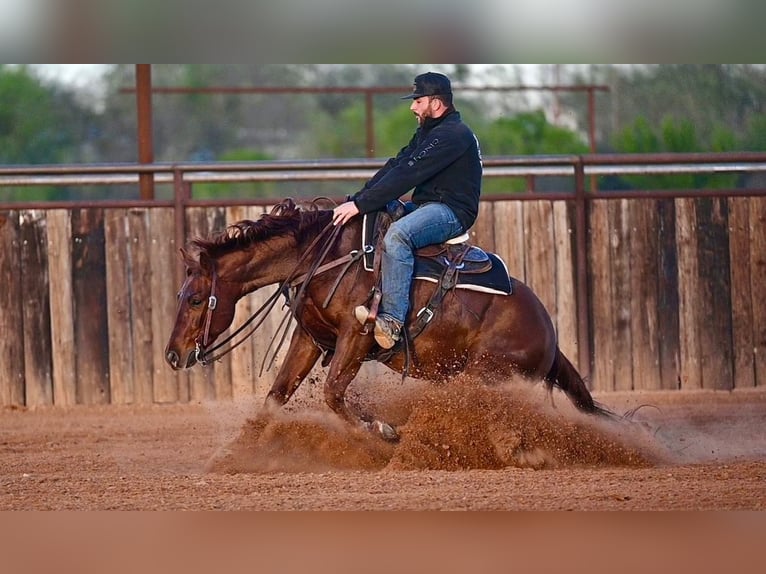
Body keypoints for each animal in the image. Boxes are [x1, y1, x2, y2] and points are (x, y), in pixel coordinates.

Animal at [164, 198, 611, 441]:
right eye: (181, 296)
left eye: (196, 299)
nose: (172, 355)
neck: (324, 258)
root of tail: (550, 336)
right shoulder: (311, 338)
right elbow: (276, 396)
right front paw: (241, 453)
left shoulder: (358, 336)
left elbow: (332, 393)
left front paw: (382, 431)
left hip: (486, 374)